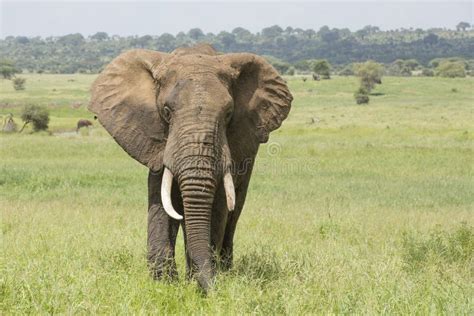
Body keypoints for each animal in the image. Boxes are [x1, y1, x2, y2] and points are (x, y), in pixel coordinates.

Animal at [87, 43, 290, 292]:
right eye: (166, 111)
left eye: (228, 114)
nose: (211, 291)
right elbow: (161, 201)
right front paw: (164, 284)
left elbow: (218, 207)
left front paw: (196, 281)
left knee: (234, 211)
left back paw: (225, 270)